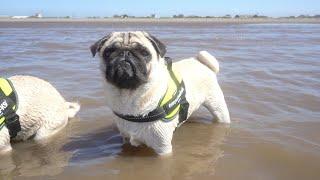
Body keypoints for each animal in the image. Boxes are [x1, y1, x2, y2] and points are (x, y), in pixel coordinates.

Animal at [90, 31, 230, 155]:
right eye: (108, 52)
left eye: (144, 53)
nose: (125, 53)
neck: (130, 96)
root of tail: (199, 61)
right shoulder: (126, 139)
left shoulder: (162, 147)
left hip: (218, 108)